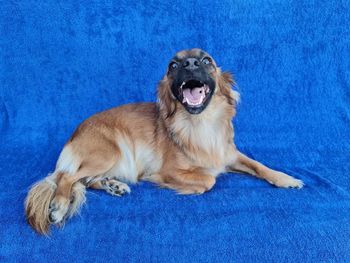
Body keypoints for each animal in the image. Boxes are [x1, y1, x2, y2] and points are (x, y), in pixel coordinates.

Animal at [25, 49, 304, 235]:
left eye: (207, 61)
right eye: (172, 65)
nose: (189, 63)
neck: (201, 124)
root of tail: (74, 134)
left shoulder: (231, 155)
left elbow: (259, 165)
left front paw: (286, 178)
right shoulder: (171, 170)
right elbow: (209, 180)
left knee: (85, 180)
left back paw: (112, 185)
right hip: (109, 153)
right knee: (66, 177)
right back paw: (59, 205)